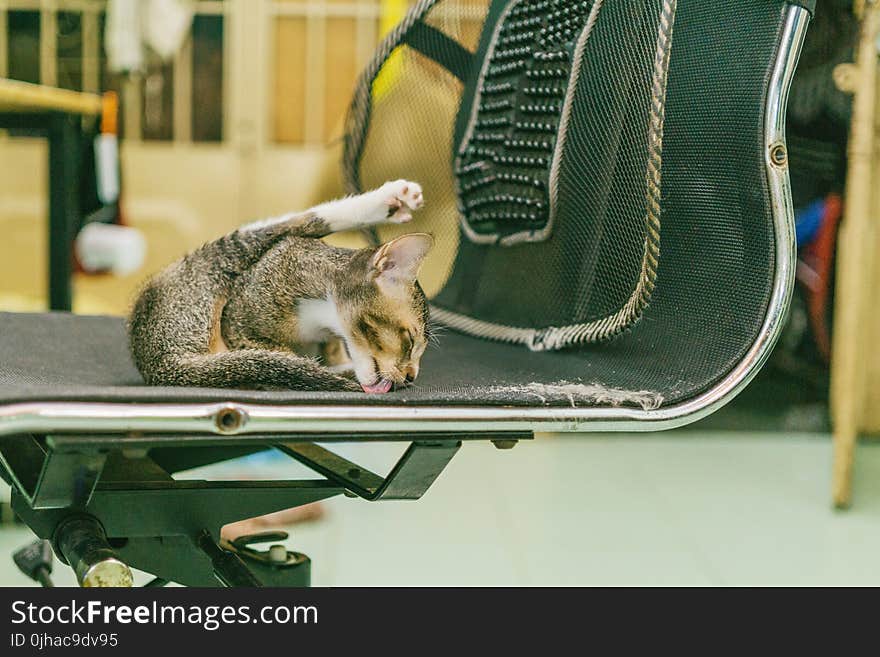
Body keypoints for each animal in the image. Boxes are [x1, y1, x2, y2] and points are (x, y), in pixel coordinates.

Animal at [129, 179, 432, 392]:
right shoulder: (239, 322)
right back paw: (391, 200)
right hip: (222, 260)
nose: (411, 376)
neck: (321, 321)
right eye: (409, 341)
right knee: (296, 222)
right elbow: (281, 357)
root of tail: (159, 364)